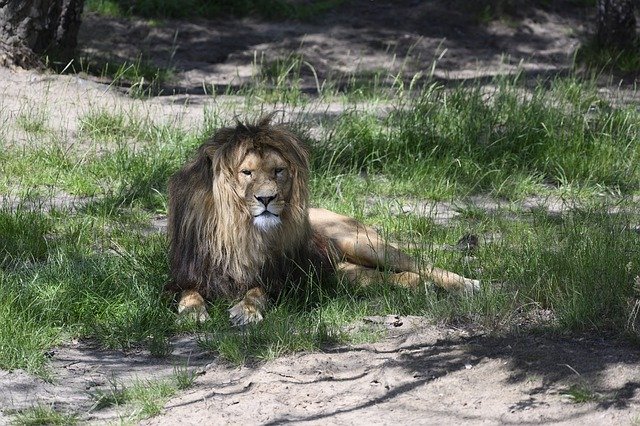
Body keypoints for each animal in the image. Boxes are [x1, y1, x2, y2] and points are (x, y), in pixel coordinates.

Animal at [166, 115, 480, 324]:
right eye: (247, 173)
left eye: (279, 171)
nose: (267, 199)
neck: (238, 230)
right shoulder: (187, 274)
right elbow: (189, 293)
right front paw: (192, 312)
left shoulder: (278, 276)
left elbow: (257, 291)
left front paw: (247, 311)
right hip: (340, 272)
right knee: (385, 276)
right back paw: (420, 286)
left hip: (361, 243)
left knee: (422, 264)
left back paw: (466, 284)